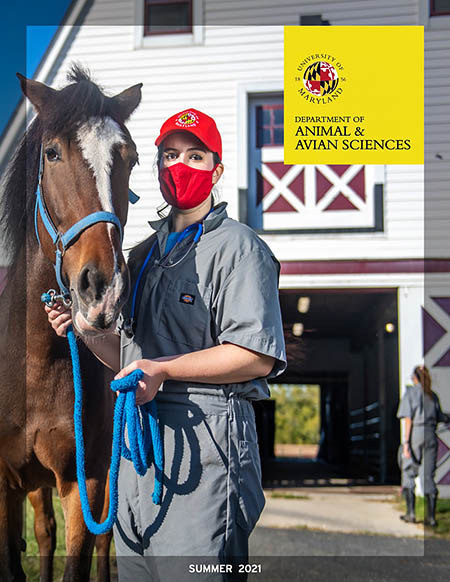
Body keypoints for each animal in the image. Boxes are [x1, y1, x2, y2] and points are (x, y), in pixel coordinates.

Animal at [0, 67, 142, 582]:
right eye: (52, 153)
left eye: (130, 158)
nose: (102, 285)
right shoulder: (4, 486)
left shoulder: (87, 481)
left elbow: (81, 554)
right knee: (43, 531)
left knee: (101, 542)